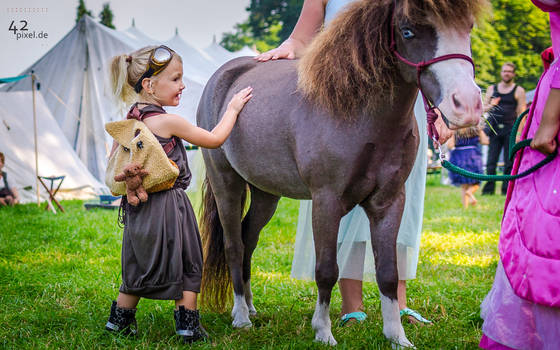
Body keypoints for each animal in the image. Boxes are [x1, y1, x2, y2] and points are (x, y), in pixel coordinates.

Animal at [198, 0, 486, 344]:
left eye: (468, 28)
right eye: (407, 31)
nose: (466, 105)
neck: (356, 111)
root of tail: (223, 77)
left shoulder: (389, 202)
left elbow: (388, 272)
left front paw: (397, 336)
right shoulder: (327, 201)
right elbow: (327, 270)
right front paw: (323, 331)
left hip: (266, 194)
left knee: (248, 240)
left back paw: (251, 308)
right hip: (226, 183)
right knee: (234, 245)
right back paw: (241, 316)